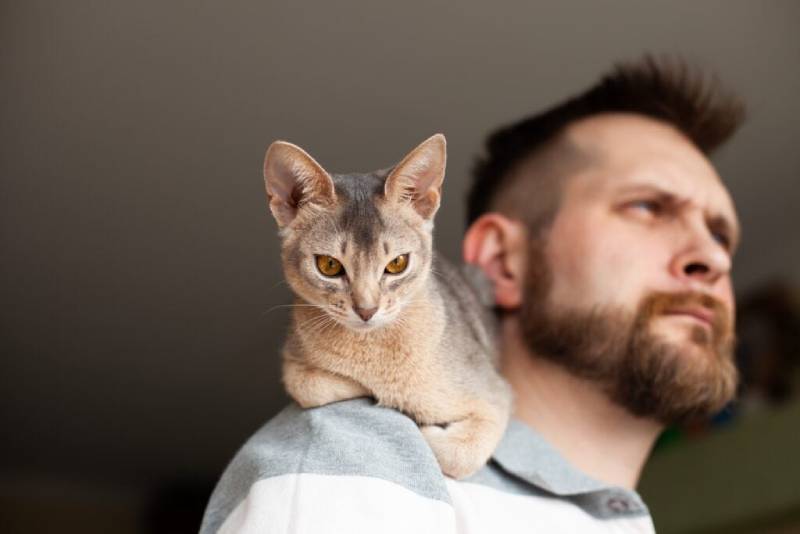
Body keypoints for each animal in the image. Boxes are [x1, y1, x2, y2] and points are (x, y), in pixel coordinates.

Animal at [262, 134, 512, 482]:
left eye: (397, 263)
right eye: (328, 265)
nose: (366, 309)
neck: (374, 351)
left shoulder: (495, 392)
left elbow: (460, 456)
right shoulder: (292, 360)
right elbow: (308, 385)